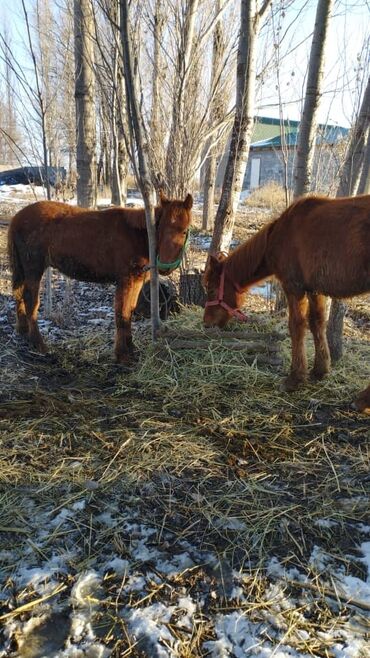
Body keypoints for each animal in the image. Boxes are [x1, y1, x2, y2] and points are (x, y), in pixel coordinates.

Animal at [7, 190, 194, 364]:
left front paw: (130, 349)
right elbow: (121, 313)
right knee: (30, 300)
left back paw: (23, 332)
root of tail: (17, 217)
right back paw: (39, 344)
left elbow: (129, 311)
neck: (136, 235)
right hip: (34, 269)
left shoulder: (137, 280)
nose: (165, 267)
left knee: (19, 295)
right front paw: (122, 355)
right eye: (159, 229)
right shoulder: (125, 280)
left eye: (184, 231)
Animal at [204, 193, 370, 410]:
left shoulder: (294, 287)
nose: (206, 323)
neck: (279, 236)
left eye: (211, 289)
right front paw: (320, 370)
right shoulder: (314, 289)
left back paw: (363, 400)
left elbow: (296, 326)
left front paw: (294, 379)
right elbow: (317, 323)